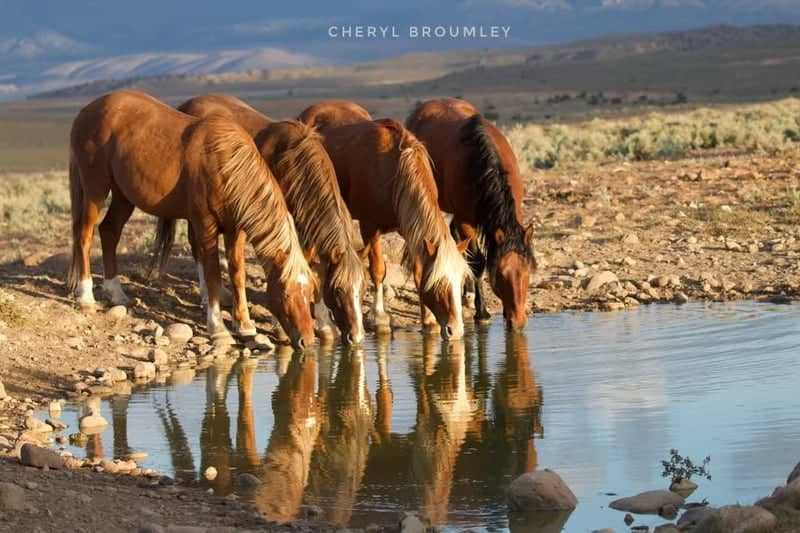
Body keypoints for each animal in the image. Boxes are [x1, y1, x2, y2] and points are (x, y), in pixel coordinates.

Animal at [66, 90, 315, 349]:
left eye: (310, 292)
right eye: (286, 293)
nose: (307, 340)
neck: (224, 165)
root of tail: (87, 109)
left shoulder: (235, 228)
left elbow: (237, 272)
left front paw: (244, 325)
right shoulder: (205, 225)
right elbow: (213, 274)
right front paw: (219, 329)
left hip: (123, 195)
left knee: (109, 232)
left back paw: (116, 292)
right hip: (95, 189)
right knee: (84, 236)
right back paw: (86, 297)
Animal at [151, 93, 365, 345]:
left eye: (362, 290)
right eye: (339, 290)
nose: (357, 336)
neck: (291, 162)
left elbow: (315, 268)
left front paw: (324, 324)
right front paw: (279, 325)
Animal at [298, 102, 471, 340]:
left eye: (461, 282)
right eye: (439, 284)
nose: (456, 330)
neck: (395, 172)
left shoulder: (410, 230)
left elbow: (418, 272)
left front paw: (428, 321)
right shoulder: (369, 226)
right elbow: (378, 270)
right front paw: (380, 318)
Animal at [406, 98, 535, 329]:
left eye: (527, 273)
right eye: (501, 275)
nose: (518, 321)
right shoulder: (466, 220)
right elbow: (478, 262)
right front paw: (482, 312)